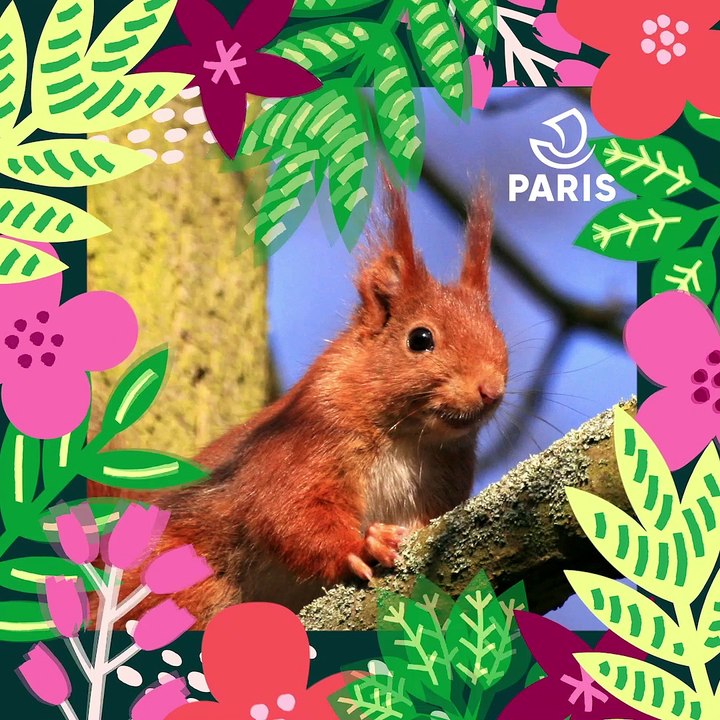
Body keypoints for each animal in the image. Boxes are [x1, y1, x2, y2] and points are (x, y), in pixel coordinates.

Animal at [105, 177, 509, 627]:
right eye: (420, 339)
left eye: (499, 336)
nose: (491, 388)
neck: (409, 438)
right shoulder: (300, 443)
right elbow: (288, 512)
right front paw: (364, 546)